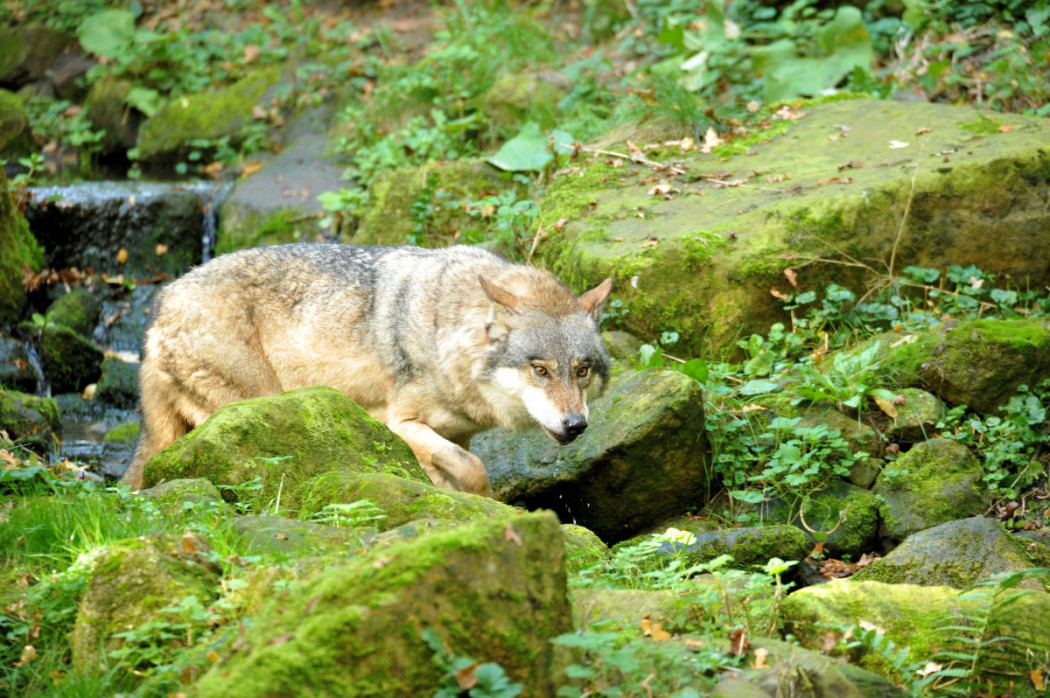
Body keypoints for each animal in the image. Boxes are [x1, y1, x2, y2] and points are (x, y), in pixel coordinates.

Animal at [123, 244, 613, 496]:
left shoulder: (455, 434)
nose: (576, 425)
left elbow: (458, 469)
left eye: (581, 371)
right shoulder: (401, 426)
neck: (447, 332)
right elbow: (473, 470)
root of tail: (160, 304)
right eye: (540, 370)